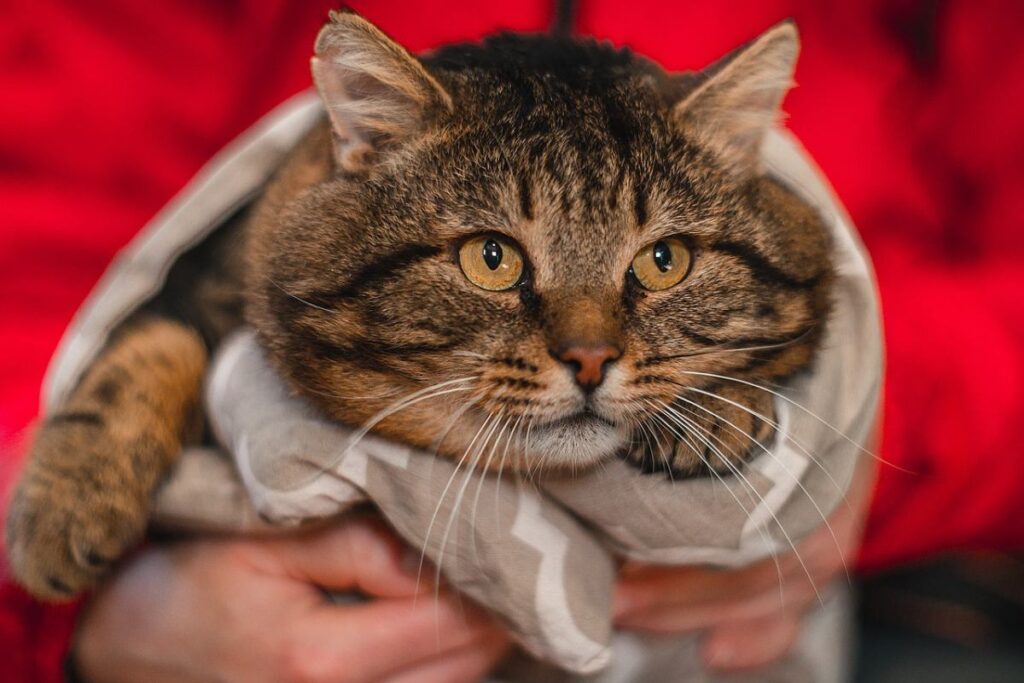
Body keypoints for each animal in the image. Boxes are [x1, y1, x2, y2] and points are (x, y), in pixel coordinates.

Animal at [4, 9, 831, 598]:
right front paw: (67, 500)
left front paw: (721, 407)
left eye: (664, 261)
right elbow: (148, 346)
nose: (591, 359)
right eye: (491, 258)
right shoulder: (202, 263)